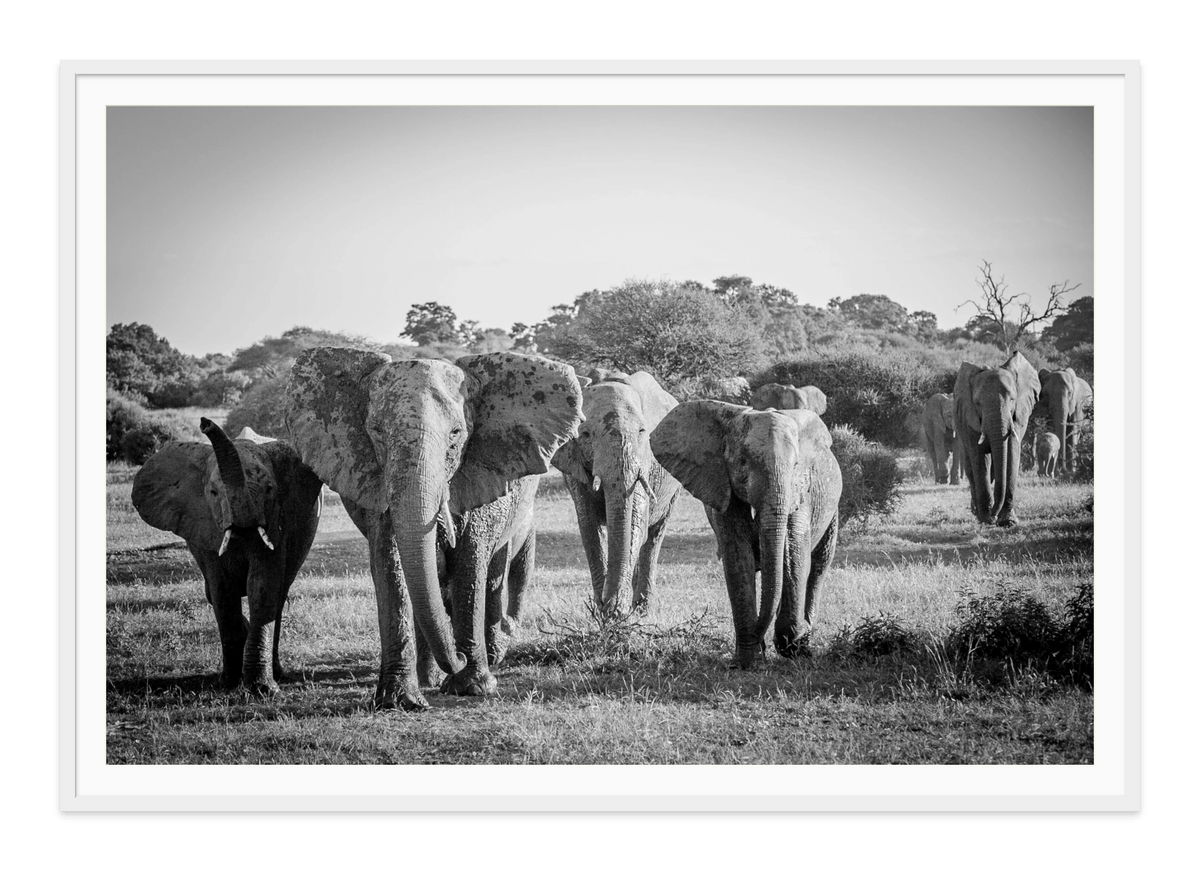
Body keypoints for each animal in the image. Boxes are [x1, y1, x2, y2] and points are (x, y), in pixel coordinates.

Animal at [130, 420, 323, 695]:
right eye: (212, 492)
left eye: (269, 489)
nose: (205, 422)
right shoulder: (206, 527)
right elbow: (222, 591)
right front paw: (228, 683)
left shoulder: (278, 520)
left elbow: (262, 587)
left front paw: (261, 689)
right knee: (212, 592)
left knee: (280, 594)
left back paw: (276, 673)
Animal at [285, 348, 582, 710]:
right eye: (376, 431)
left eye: (456, 434)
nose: (458, 656)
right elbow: (391, 563)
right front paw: (399, 701)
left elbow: (470, 562)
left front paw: (472, 688)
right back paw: (428, 680)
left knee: (491, 574)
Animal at [551, 369, 682, 614]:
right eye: (585, 434)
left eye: (642, 431)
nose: (608, 606)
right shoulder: (574, 463)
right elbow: (589, 527)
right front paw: (601, 611)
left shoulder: (645, 460)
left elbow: (634, 524)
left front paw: (616, 610)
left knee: (654, 536)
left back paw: (642, 608)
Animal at [651, 402, 842, 667]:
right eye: (742, 462)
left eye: (796, 465)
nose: (761, 640)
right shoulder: (722, 486)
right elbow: (738, 558)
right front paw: (748, 662)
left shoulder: (801, 492)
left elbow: (794, 554)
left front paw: (789, 646)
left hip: (833, 510)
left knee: (820, 564)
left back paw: (803, 645)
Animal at [953, 352, 1041, 527]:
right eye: (977, 403)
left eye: (1012, 399)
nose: (994, 514)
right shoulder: (970, 419)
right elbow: (980, 458)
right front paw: (986, 519)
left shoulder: (1018, 417)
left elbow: (1011, 454)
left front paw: (1008, 521)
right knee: (971, 468)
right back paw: (977, 512)